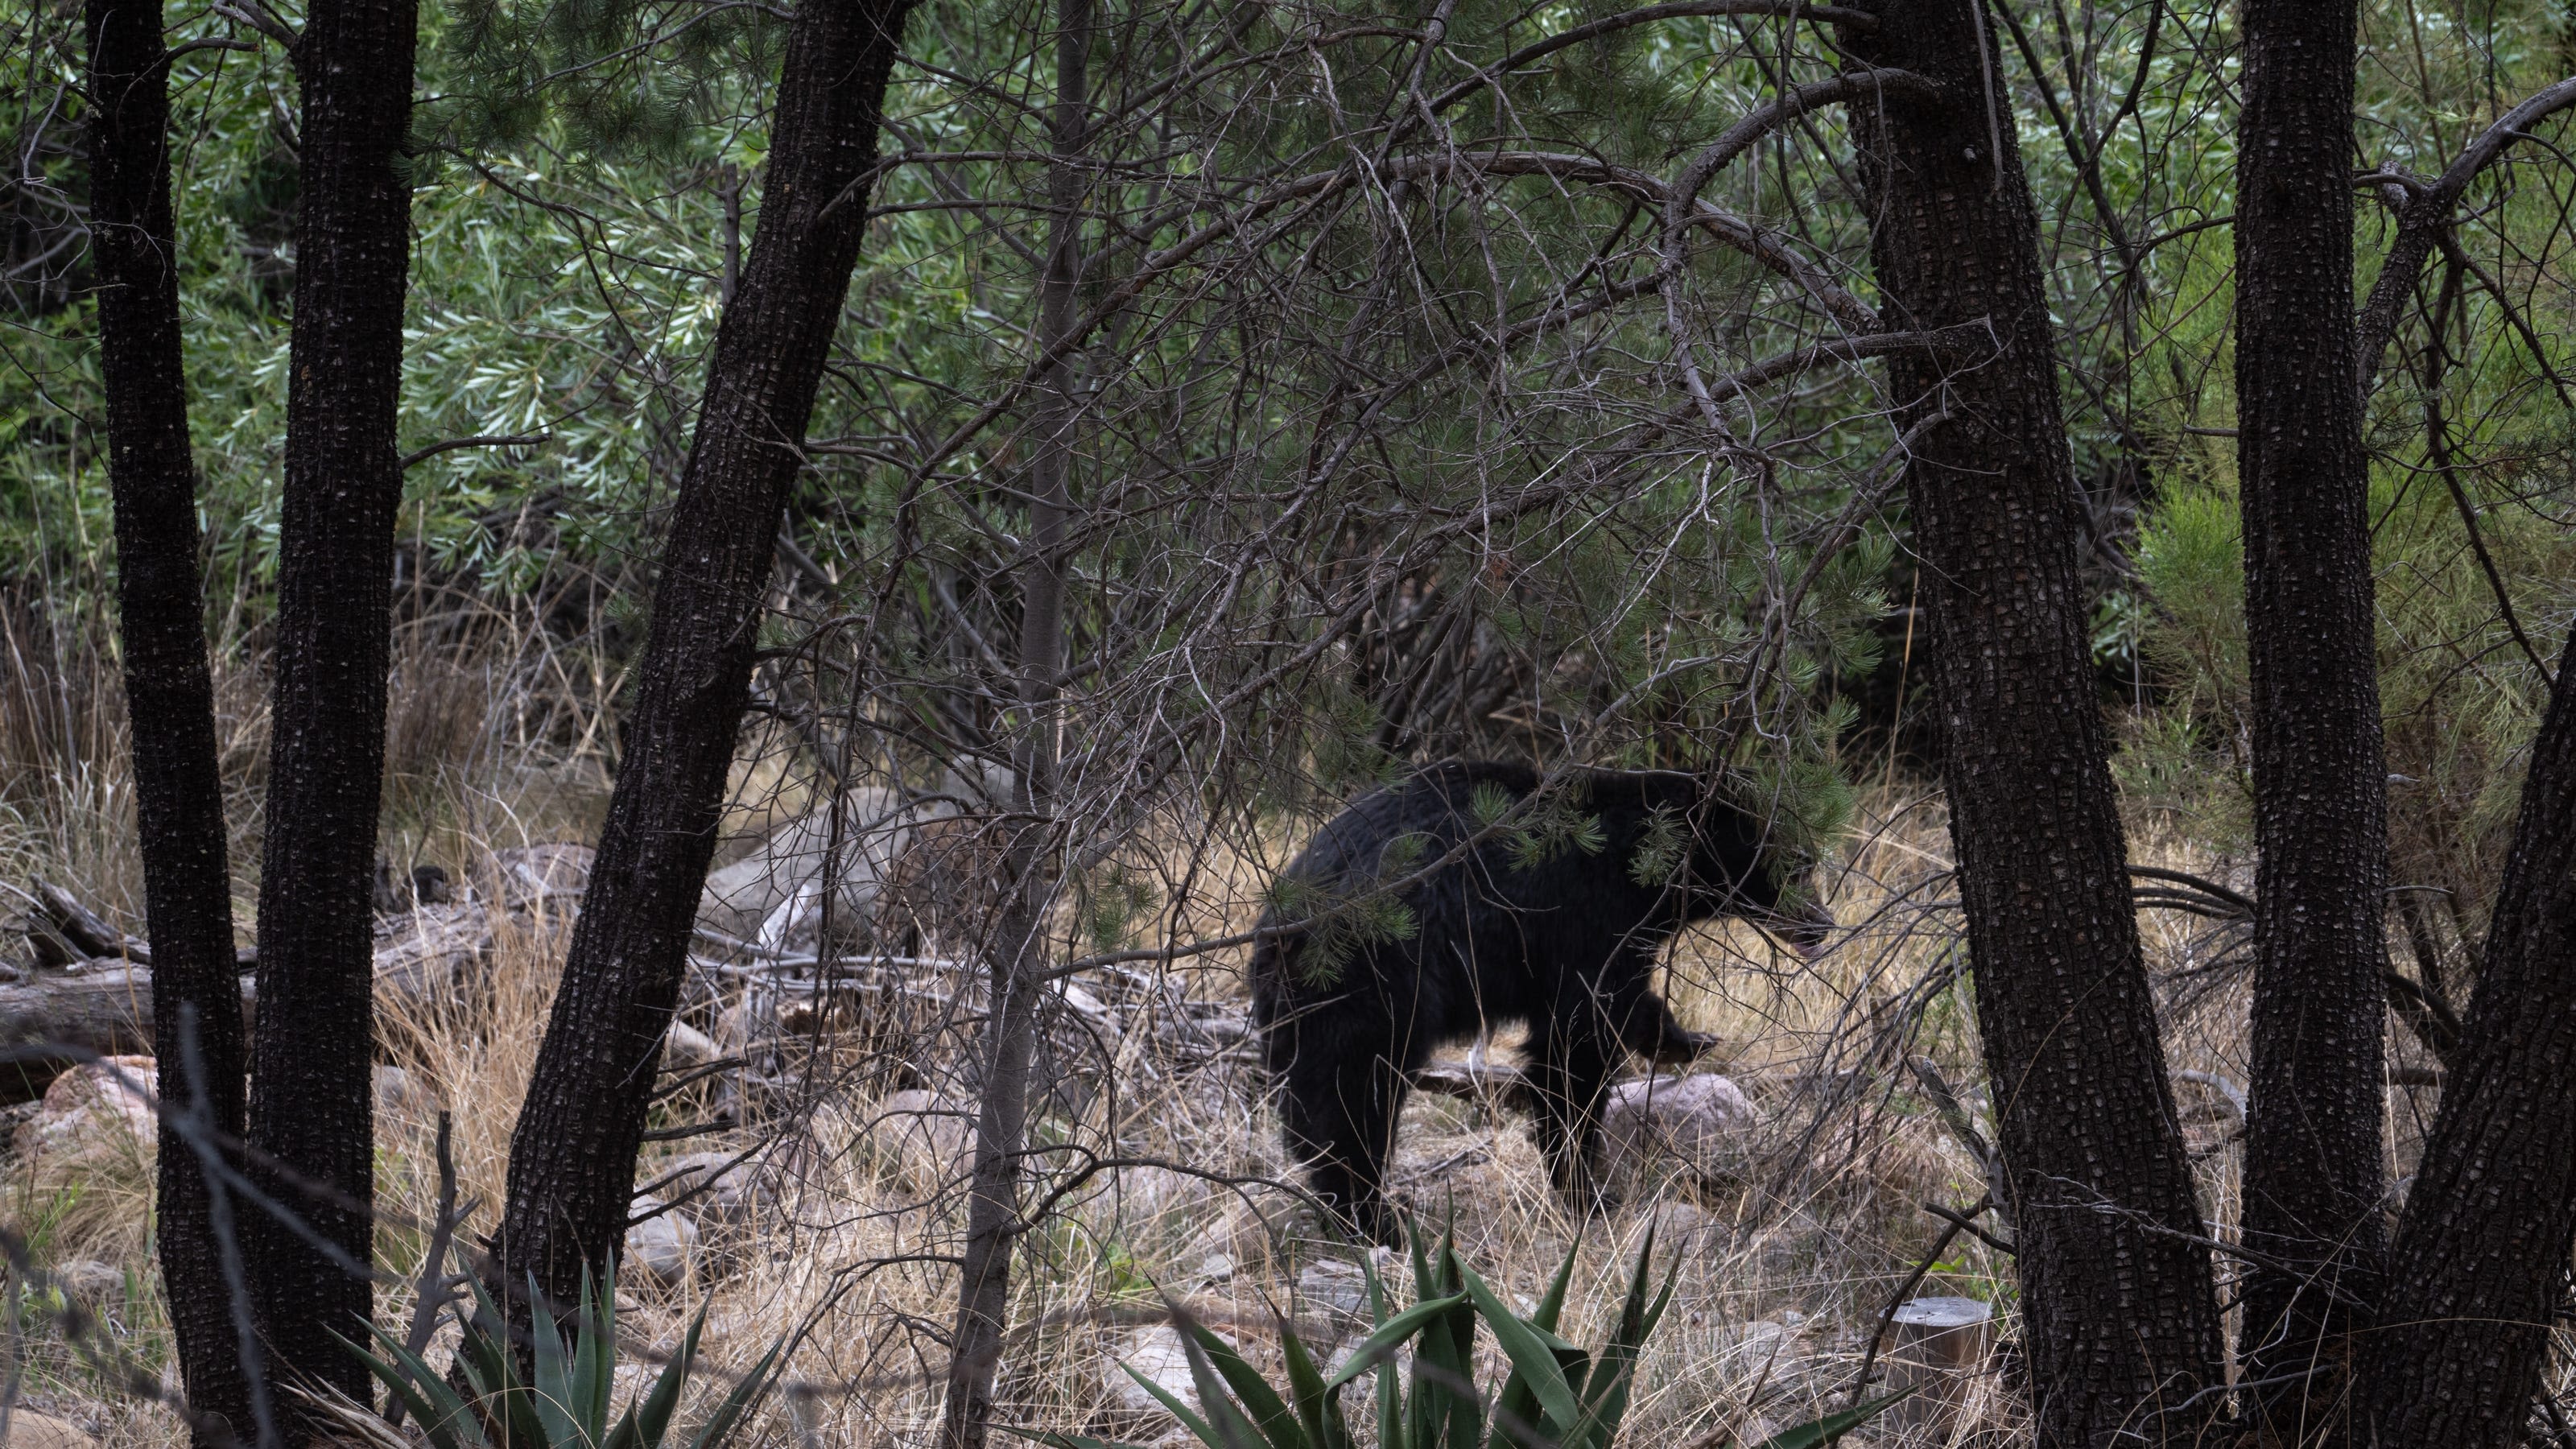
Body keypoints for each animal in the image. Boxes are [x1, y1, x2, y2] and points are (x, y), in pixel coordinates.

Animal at [1252, 747, 1834, 1237]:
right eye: (1799, 866)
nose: (1824, 926)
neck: (1644, 862)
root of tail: (1286, 916)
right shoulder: (1585, 917)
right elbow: (1577, 1043)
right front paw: (1587, 1191)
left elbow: (1623, 1003)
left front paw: (1683, 1039)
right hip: (1376, 976)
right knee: (1355, 1092)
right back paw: (1373, 1218)